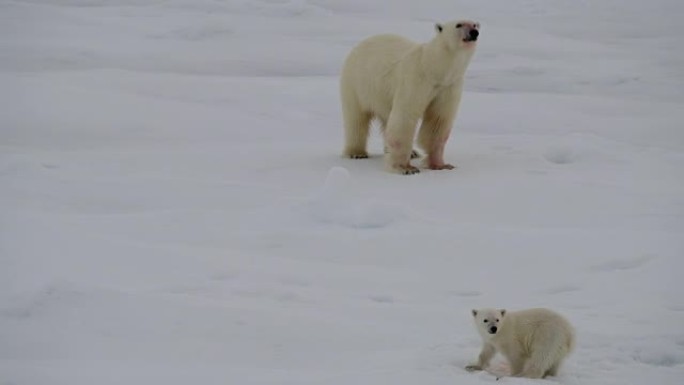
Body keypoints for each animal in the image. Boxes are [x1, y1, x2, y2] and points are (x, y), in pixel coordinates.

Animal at [340, 18, 478, 173]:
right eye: (458, 25)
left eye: (475, 24)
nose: (474, 32)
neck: (433, 69)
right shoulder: (415, 79)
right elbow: (405, 116)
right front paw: (406, 168)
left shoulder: (448, 86)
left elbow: (438, 121)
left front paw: (441, 164)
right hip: (357, 84)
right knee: (356, 119)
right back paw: (356, 153)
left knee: (387, 118)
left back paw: (411, 152)